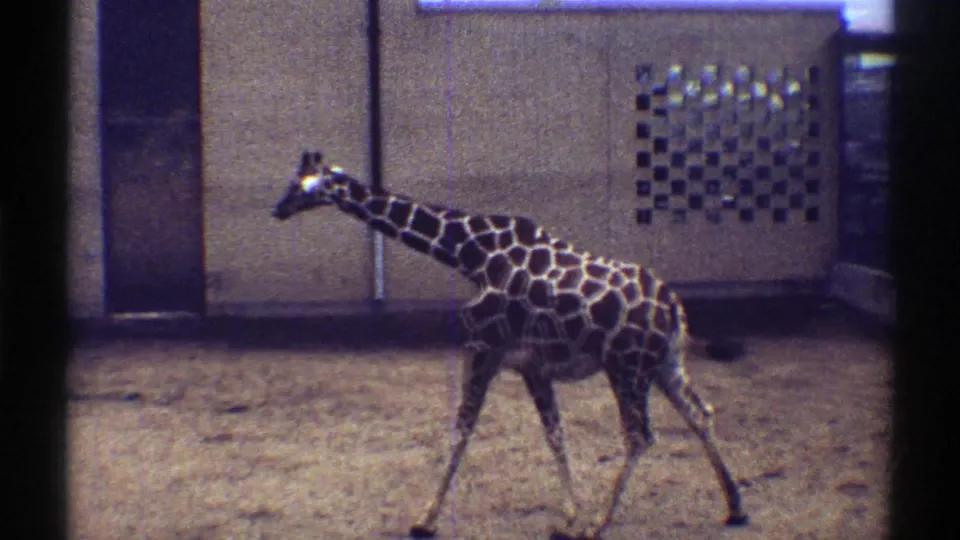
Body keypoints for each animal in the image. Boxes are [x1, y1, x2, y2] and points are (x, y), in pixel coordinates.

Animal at [272, 151, 750, 539]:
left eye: (301, 185)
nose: (277, 209)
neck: (470, 254)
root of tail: (671, 306)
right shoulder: (531, 366)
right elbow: (554, 433)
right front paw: (570, 513)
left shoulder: (485, 348)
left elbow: (463, 428)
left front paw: (426, 518)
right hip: (666, 363)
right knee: (700, 414)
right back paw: (735, 508)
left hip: (627, 367)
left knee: (641, 435)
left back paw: (601, 524)